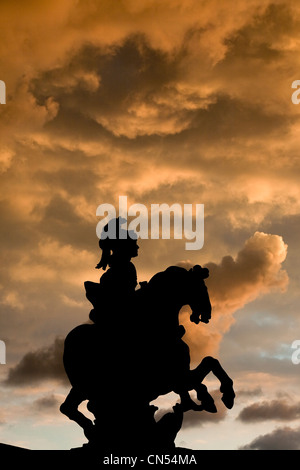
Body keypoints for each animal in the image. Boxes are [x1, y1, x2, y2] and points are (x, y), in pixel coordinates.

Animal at [60, 264, 234, 444]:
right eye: (202, 288)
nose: (208, 313)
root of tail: (69, 340)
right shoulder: (174, 377)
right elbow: (204, 372)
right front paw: (219, 396)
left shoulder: (180, 375)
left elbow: (210, 361)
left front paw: (219, 397)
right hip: (86, 385)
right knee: (77, 407)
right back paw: (93, 429)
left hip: (83, 387)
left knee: (68, 407)